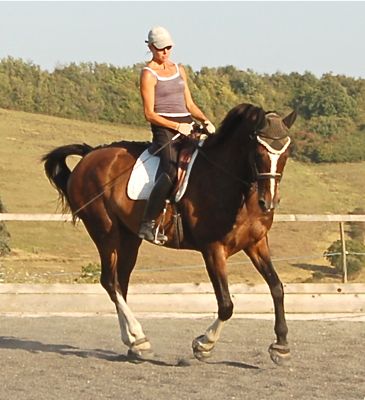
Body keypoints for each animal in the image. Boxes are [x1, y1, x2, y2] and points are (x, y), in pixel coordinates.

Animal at [42, 101, 296, 364]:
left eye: (286, 153)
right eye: (258, 151)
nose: (269, 202)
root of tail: (90, 155)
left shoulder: (256, 243)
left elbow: (277, 288)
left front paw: (281, 346)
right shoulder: (213, 249)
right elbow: (226, 304)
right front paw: (204, 344)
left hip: (129, 238)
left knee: (121, 283)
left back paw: (134, 343)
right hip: (104, 231)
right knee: (110, 282)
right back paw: (139, 338)